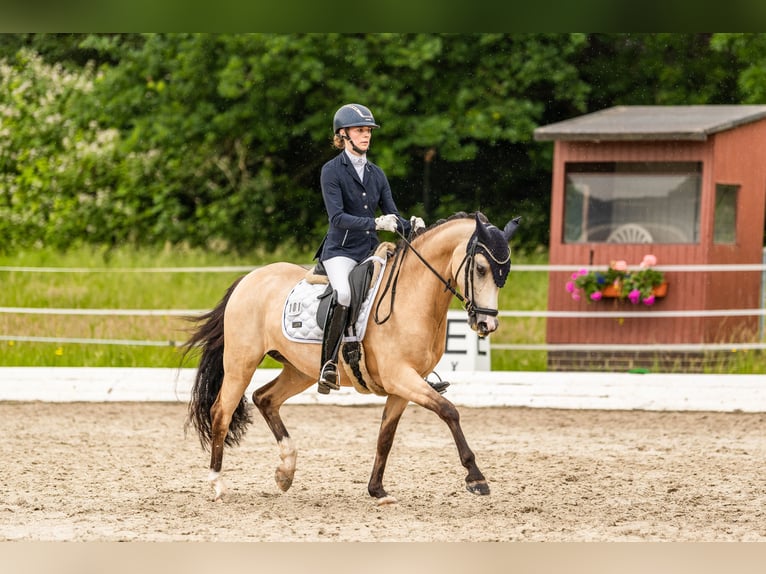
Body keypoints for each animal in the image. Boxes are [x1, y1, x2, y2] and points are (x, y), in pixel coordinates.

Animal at [185, 210, 520, 504]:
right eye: (480, 269)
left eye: (504, 273)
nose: (487, 325)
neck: (413, 295)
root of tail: (250, 278)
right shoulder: (401, 377)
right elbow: (450, 412)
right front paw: (476, 478)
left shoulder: (403, 386)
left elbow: (386, 436)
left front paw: (378, 491)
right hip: (241, 362)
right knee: (222, 412)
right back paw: (217, 484)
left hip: (300, 370)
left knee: (265, 398)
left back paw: (285, 472)